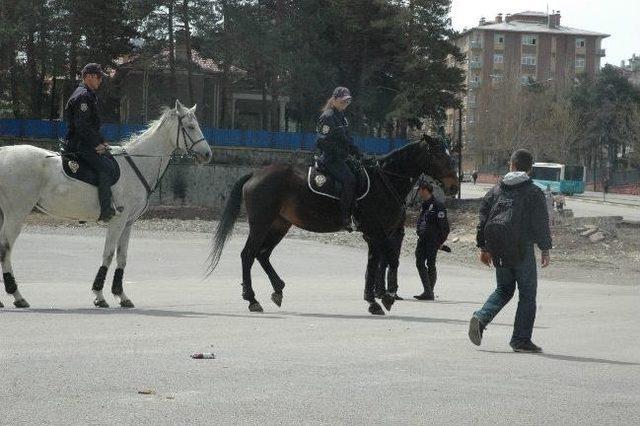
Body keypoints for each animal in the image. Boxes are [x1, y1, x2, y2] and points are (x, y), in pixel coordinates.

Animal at [0, 101, 214, 308]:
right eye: (190, 127)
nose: (207, 154)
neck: (137, 164)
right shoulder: (118, 221)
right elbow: (109, 255)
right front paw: (99, 295)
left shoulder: (128, 223)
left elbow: (122, 258)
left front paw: (121, 295)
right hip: (16, 214)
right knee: (5, 249)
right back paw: (17, 296)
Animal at [209, 135, 460, 314]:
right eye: (439, 156)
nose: (454, 186)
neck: (384, 180)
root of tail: (255, 174)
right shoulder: (377, 231)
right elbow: (389, 260)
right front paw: (385, 297)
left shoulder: (375, 234)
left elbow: (375, 264)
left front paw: (373, 300)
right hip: (261, 224)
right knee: (248, 254)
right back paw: (251, 298)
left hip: (279, 225)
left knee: (262, 254)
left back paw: (277, 289)